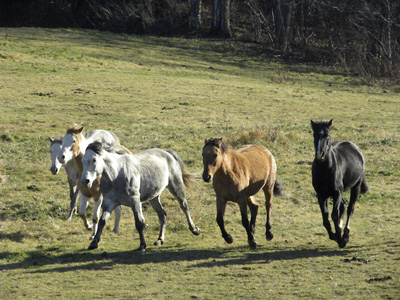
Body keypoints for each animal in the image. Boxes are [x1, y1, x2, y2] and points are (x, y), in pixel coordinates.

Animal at [310, 119, 368, 248]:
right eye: (315, 135)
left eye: (327, 135)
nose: (320, 154)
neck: (324, 170)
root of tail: (356, 148)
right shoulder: (321, 195)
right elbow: (325, 217)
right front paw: (334, 235)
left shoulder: (336, 193)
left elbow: (334, 215)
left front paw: (341, 239)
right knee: (343, 205)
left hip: (355, 187)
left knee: (350, 208)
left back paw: (345, 234)